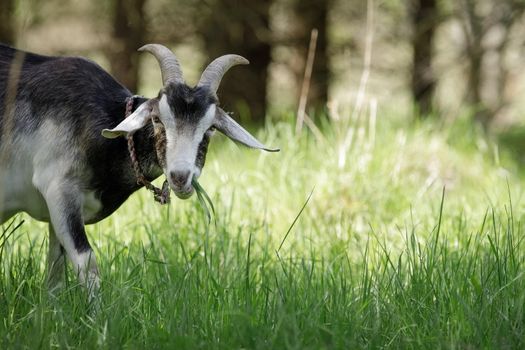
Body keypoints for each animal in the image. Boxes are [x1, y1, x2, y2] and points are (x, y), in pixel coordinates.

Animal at [0, 42, 278, 296]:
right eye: (157, 119)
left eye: (210, 128)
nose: (180, 177)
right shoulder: (59, 189)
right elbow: (86, 262)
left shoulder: (57, 210)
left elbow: (56, 273)